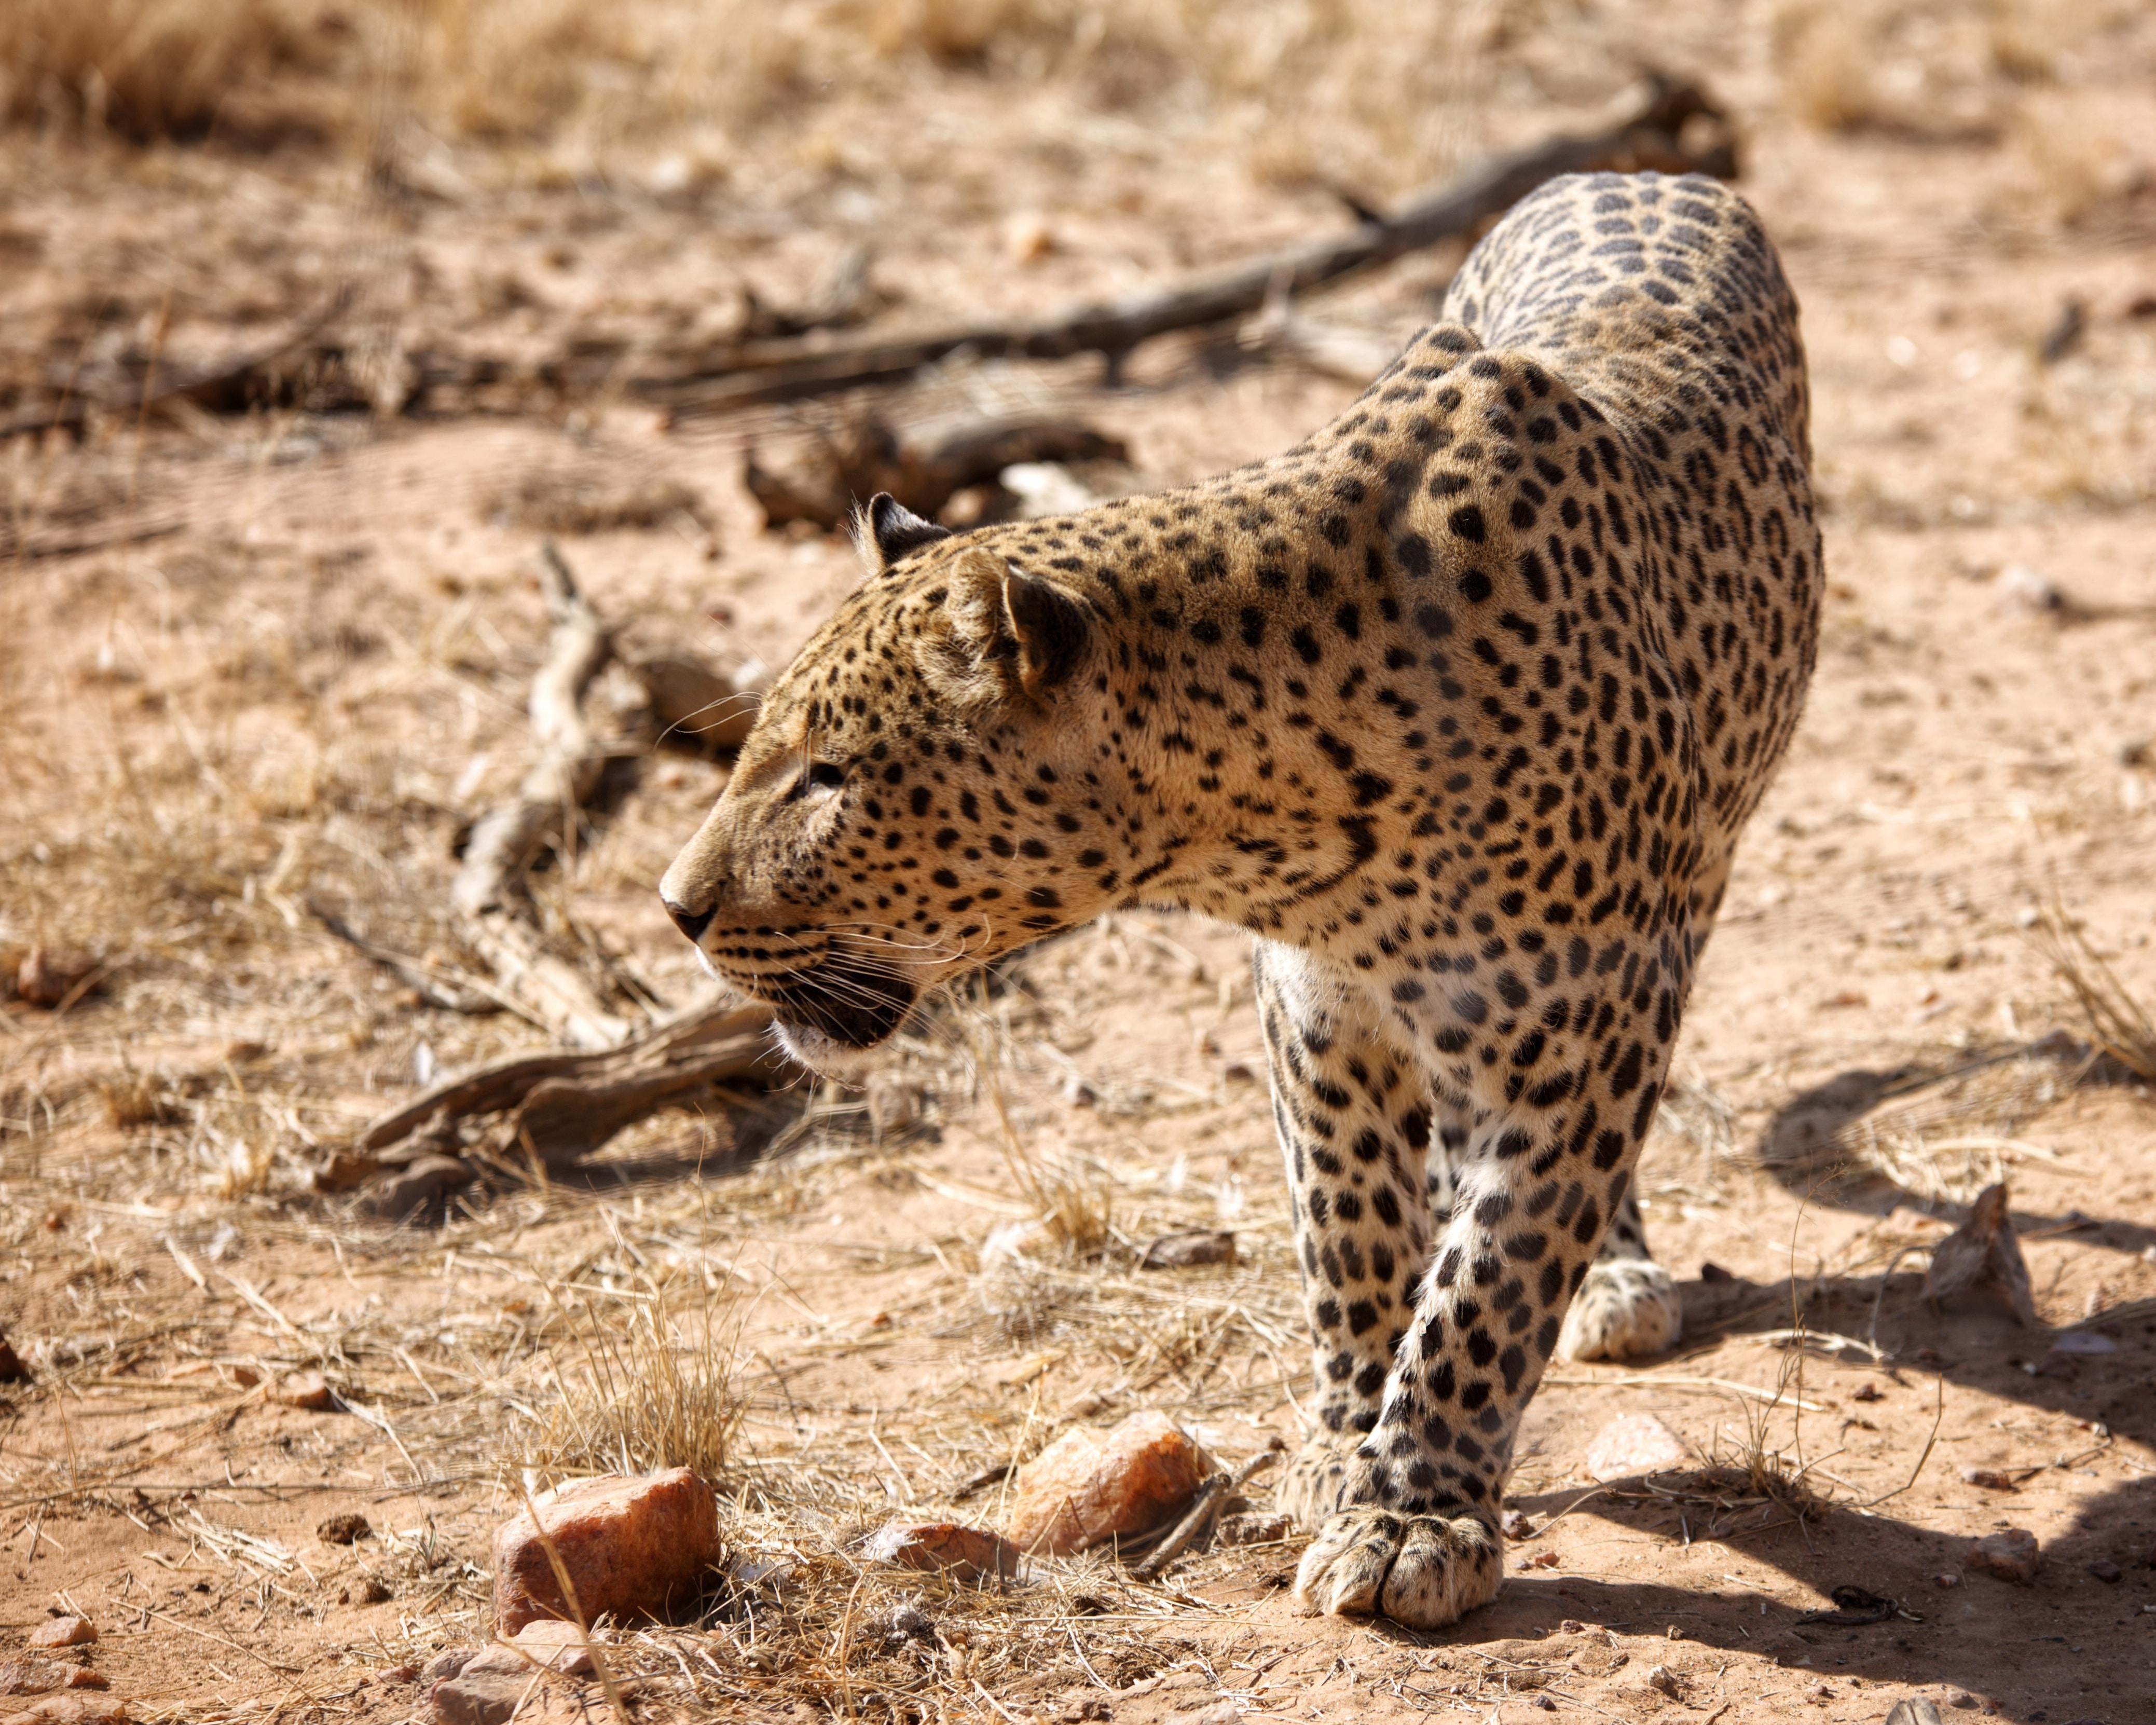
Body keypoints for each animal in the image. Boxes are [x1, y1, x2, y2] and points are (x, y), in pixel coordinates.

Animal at [655, 171, 1819, 1630]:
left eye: (827, 776)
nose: (673, 907)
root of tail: (1640, 172)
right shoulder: (1313, 1004)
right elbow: (1348, 1229)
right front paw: (1344, 1439)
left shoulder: (1589, 1011)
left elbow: (1488, 1280)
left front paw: (1414, 1510)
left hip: (1688, 886)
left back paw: (1607, 1268)